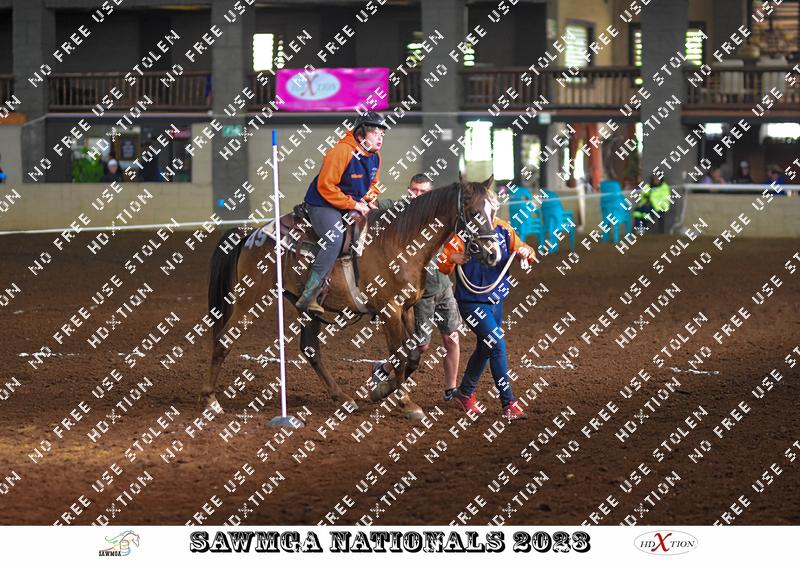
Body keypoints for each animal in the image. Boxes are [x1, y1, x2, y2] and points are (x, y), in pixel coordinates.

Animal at [203, 176, 501, 420]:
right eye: (474, 212)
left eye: (494, 210)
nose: (493, 254)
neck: (401, 241)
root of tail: (249, 235)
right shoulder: (390, 311)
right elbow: (399, 355)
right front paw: (405, 402)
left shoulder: (406, 308)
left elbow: (414, 354)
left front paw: (383, 389)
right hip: (249, 299)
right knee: (224, 340)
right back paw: (211, 400)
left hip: (306, 306)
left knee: (310, 349)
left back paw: (343, 398)